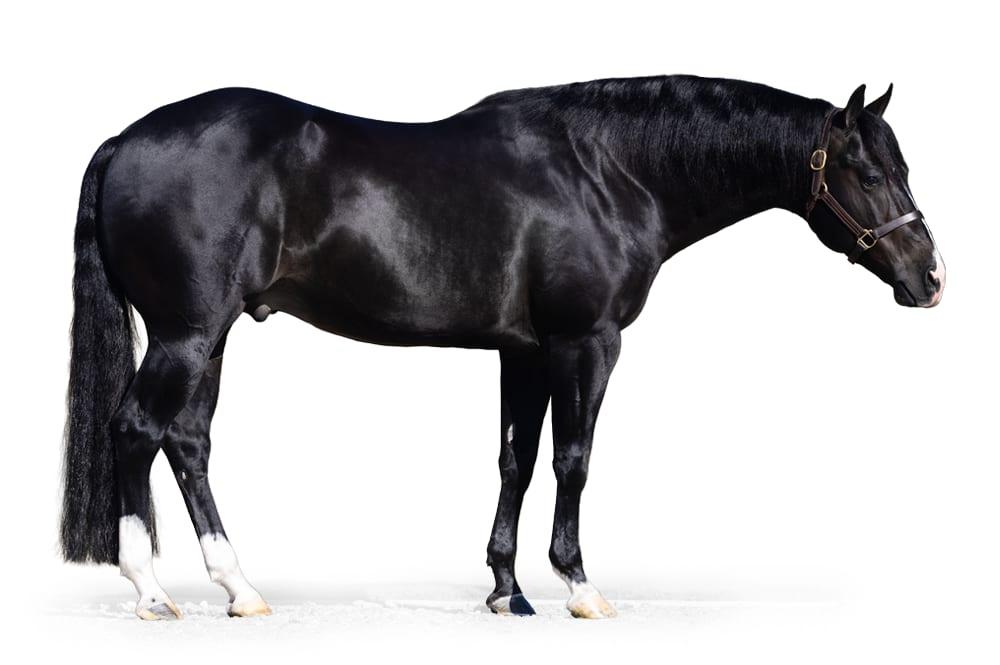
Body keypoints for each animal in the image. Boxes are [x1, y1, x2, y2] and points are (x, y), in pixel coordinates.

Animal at [61, 75, 945, 621]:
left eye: (903, 164)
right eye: (868, 172)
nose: (930, 278)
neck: (608, 172)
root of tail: (124, 140)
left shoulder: (521, 351)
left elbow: (514, 460)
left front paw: (506, 590)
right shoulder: (585, 342)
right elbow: (572, 459)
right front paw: (579, 586)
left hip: (211, 337)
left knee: (187, 443)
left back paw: (239, 587)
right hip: (186, 334)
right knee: (136, 431)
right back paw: (150, 591)